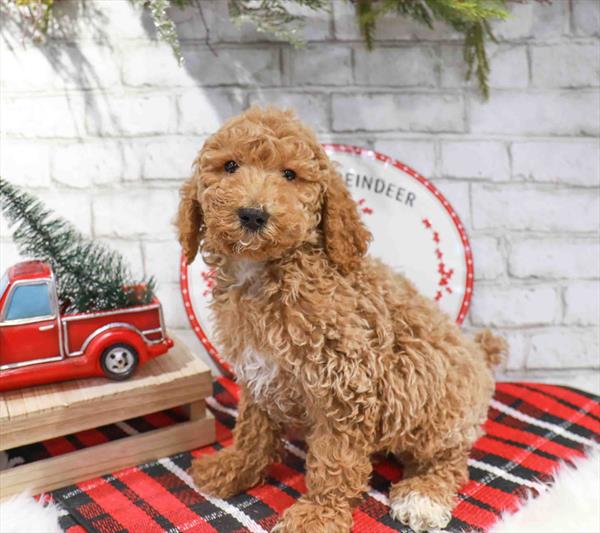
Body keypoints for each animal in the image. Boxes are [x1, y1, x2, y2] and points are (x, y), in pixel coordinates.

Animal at [176, 106, 504, 528]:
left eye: (289, 175)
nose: (252, 214)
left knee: (449, 460)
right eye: (230, 166)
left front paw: (318, 513)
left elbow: (334, 457)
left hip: (436, 398)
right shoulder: (256, 372)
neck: (267, 273)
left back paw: (422, 495)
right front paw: (234, 467)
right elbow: (253, 429)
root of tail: (478, 355)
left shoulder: (343, 381)